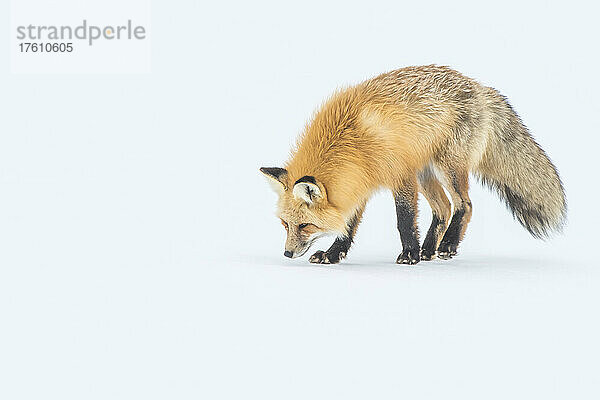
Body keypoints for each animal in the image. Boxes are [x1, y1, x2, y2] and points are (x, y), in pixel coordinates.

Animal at [260, 65, 564, 266]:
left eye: (305, 226)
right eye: (285, 224)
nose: (287, 253)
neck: (353, 139)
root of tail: (479, 86)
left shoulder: (401, 174)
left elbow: (404, 220)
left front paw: (409, 254)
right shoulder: (358, 184)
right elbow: (349, 226)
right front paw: (334, 254)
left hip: (447, 167)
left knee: (464, 205)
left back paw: (447, 245)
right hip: (426, 173)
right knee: (444, 208)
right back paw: (429, 249)